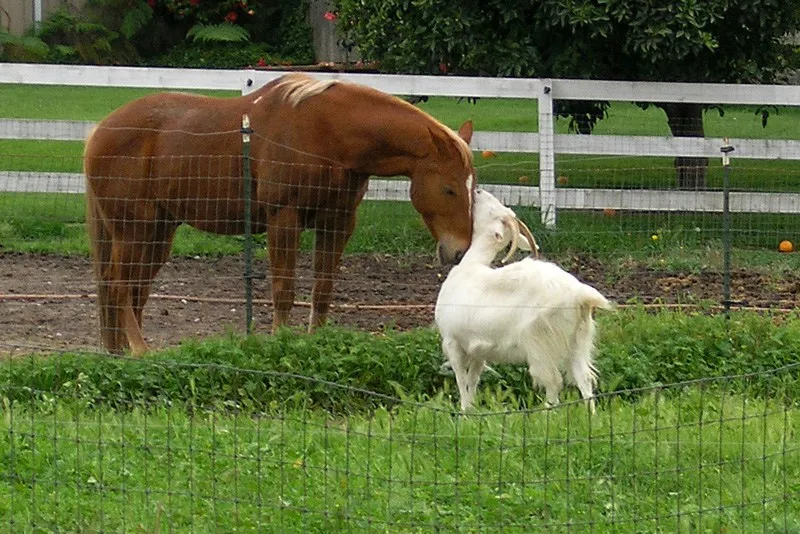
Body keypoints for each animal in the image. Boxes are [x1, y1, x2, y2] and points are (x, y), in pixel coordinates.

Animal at [84, 73, 476, 355]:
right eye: (449, 189)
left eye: (473, 189)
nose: (459, 251)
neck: (329, 134)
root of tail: (99, 131)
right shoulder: (283, 220)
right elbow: (284, 290)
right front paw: (281, 341)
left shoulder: (337, 223)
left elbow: (322, 290)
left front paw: (315, 341)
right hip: (134, 230)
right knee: (118, 285)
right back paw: (139, 350)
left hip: (158, 233)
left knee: (135, 289)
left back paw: (121, 351)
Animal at [435, 189, 613, 412]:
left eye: (494, 210)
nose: (477, 191)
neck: (471, 267)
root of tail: (580, 294)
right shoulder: (478, 350)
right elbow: (472, 381)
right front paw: (472, 410)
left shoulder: (452, 341)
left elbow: (461, 380)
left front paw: (463, 412)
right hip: (578, 340)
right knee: (585, 380)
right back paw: (591, 416)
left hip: (539, 341)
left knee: (553, 382)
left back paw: (545, 414)